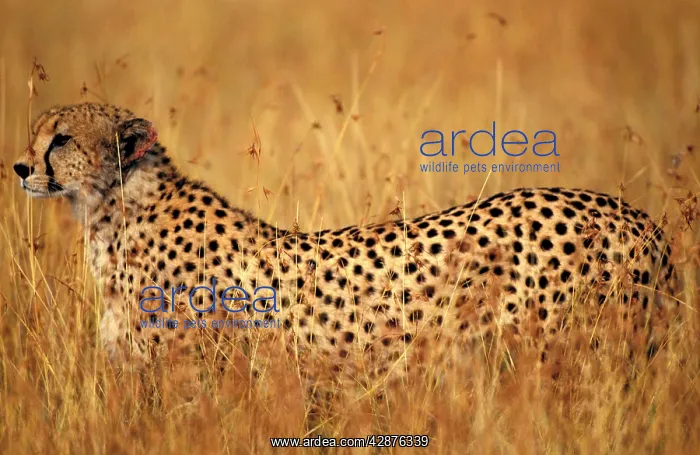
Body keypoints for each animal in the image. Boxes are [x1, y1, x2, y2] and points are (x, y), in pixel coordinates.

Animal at [13, 102, 681, 430]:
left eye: (61, 139)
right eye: (36, 133)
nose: (19, 167)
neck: (114, 211)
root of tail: (633, 215)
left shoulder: (192, 390)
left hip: (569, 368)